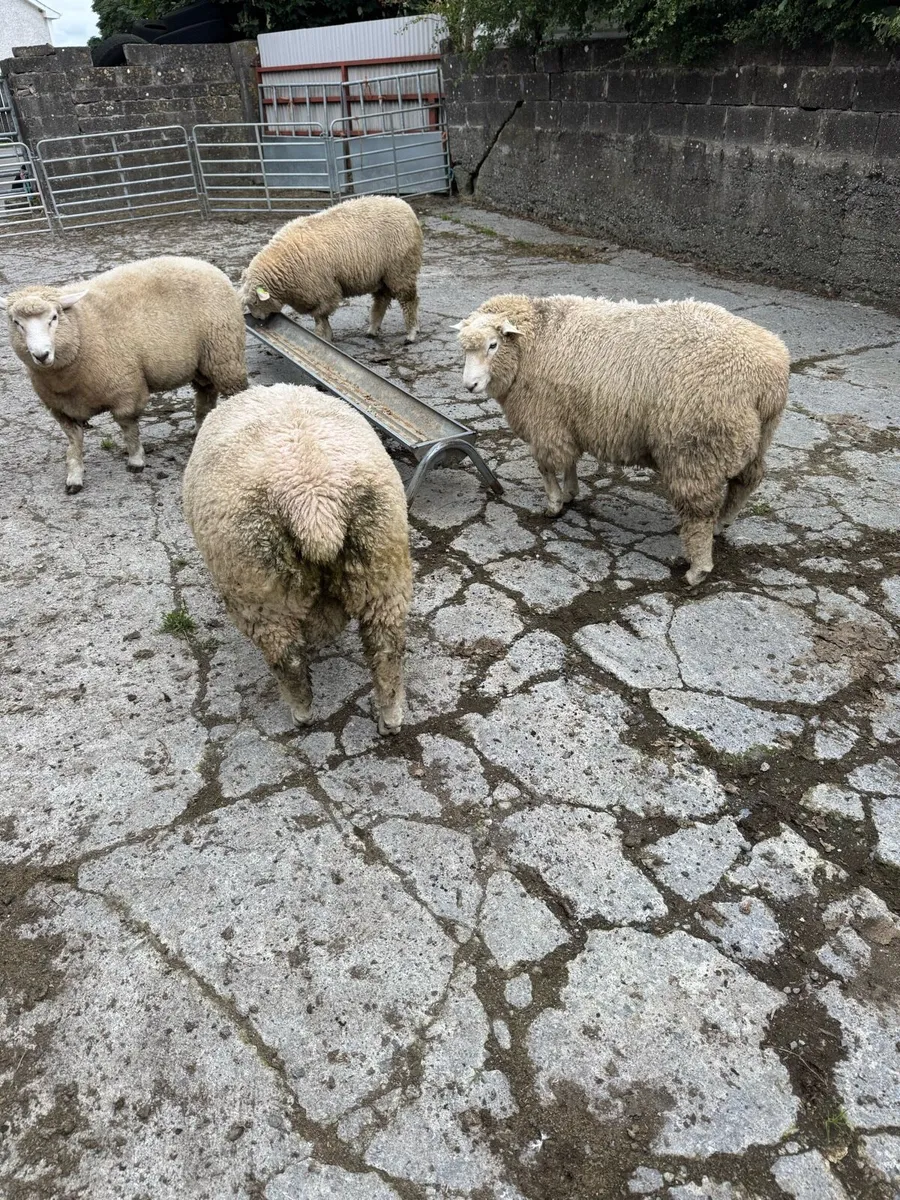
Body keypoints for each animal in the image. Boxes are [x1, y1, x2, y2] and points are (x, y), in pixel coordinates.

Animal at [1, 256, 248, 494]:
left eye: (53, 318)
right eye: (16, 323)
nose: (41, 355)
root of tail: (206, 266)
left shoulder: (126, 388)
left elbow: (128, 428)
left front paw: (136, 460)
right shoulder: (61, 409)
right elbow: (75, 443)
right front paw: (74, 477)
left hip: (224, 354)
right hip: (203, 362)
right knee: (206, 392)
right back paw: (201, 426)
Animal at [183, 382, 412, 734]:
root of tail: (314, 503)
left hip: (261, 590)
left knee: (286, 658)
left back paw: (301, 713)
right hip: (381, 567)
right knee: (386, 650)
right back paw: (390, 718)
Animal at [238, 195, 423, 344]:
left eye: (255, 302)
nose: (258, 319)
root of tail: (404, 206)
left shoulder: (325, 292)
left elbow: (319, 317)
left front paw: (323, 337)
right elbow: (322, 317)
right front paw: (327, 336)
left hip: (401, 270)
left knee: (409, 300)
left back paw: (411, 333)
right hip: (381, 275)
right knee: (382, 299)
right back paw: (372, 330)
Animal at [455, 294, 790, 586]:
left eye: (493, 345)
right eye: (465, 350)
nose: (469, 385)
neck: (536, 338)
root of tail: (768, 375)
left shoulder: (545, 421)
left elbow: (547, 467)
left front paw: (553, 504)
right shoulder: (568, 419)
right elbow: (570, 461)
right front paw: (571, 493)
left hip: (696, 448)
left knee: (700, 511)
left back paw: (698, 568)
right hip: (758, 437)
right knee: (747, 481)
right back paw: (722, 524)